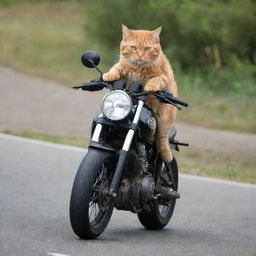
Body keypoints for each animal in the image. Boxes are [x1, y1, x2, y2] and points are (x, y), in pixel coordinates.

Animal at [103, 24, 177, 164]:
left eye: (147, 48)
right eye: (134, 47)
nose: (140, 55)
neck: (138, 68)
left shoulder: (163, 76)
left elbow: (156, 79)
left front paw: (150, 86)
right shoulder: (122, 66)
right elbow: (116, 68)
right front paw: (109, 75)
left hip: (164, 118)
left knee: (162, 139)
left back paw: (166, 155)